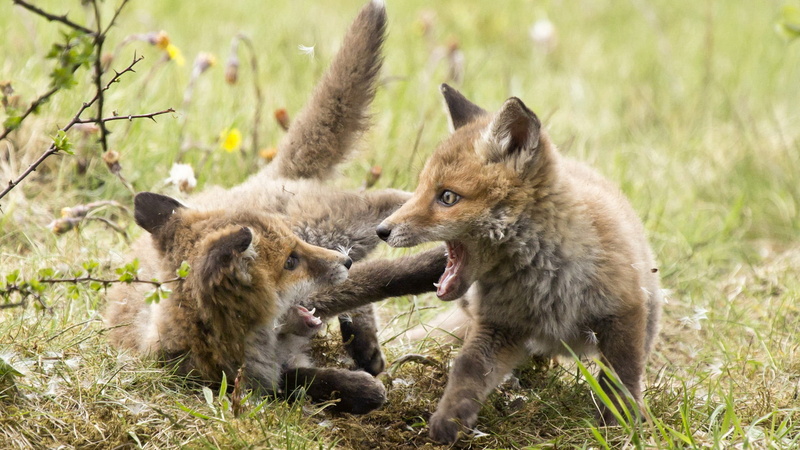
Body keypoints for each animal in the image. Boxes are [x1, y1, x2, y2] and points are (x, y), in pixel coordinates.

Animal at [105, 0, 446, 414]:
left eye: (293, 251)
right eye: (290, 261)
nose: (343, 261)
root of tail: (257, 180)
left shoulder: (321, 291)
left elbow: (386, 277)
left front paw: (436, 266)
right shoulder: (258, 374)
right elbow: (304, 382)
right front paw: (357, 389)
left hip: (340, 226)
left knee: (394, 204)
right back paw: (362, 341)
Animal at [377, 84, 662, 442]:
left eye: (447, 197)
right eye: (418, 189)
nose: (381, 230)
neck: (545, 278)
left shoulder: (623, 311)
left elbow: (622, 379)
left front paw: (619, 427)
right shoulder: (500, 326)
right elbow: (467, 369)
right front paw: (448, 421)